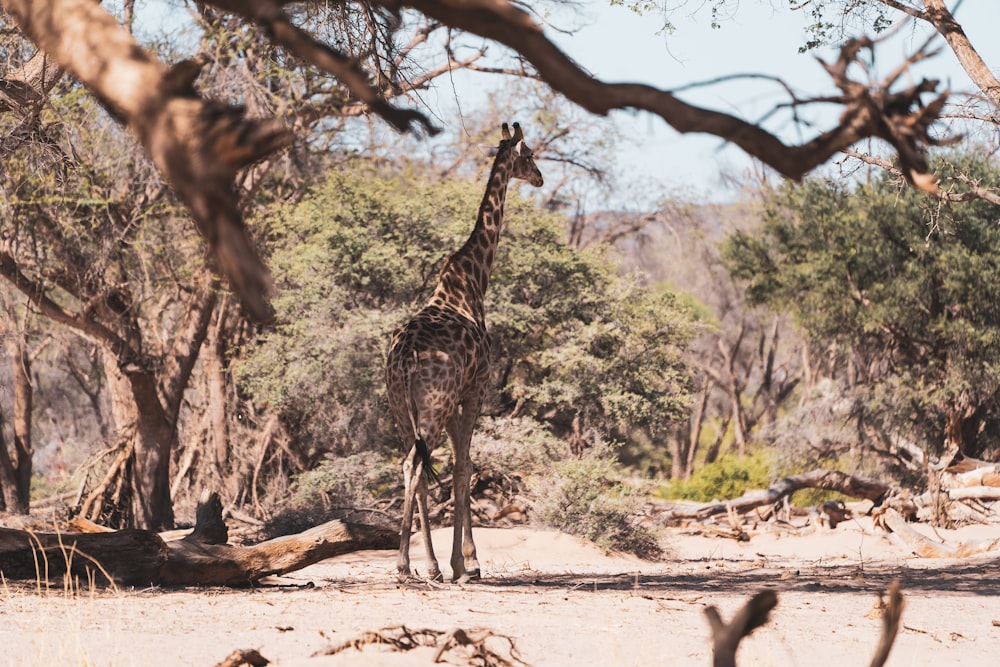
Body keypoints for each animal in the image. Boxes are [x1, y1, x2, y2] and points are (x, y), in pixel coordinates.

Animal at [384, 122, 544, 580]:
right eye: (530, 155)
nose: (541, 178)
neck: (473, 281)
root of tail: (405, 359)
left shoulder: (460, 398)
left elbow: (458, 467)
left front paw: (456, 561)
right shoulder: (476, 389)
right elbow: (464, 466)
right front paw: (468, 562)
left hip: (399, 407)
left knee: (410, 465)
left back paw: (424, 565)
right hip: (433, 405)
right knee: (416, 465)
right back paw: (407, 564)